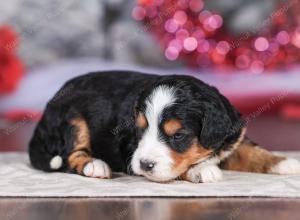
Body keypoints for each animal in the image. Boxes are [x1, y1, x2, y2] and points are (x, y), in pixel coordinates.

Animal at [28, 70, 300, 182]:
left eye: (178, 136)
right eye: (140, 130)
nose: (145, 164)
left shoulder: (233, 136)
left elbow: (252, 151)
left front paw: (286, 162)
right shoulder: (129, 152)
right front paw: (202, 171)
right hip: (73, 120)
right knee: (70, 155)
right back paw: (95, 166)